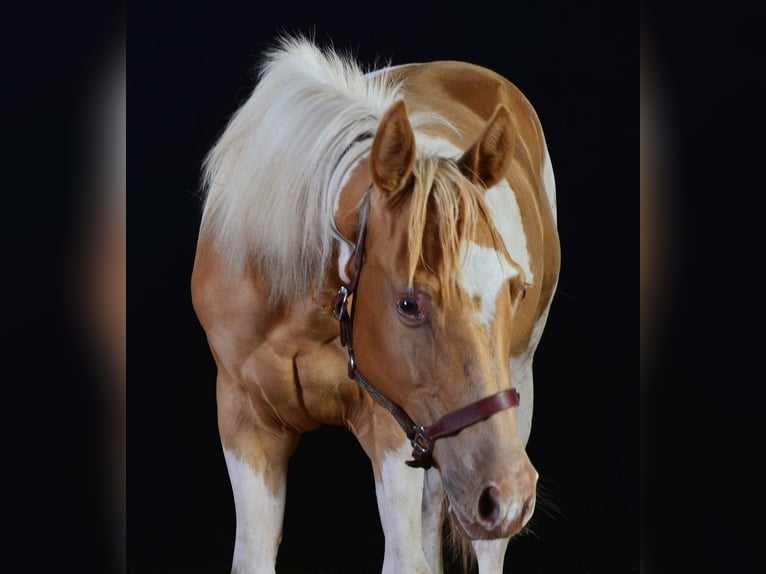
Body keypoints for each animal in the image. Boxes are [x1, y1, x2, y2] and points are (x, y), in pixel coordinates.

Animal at [191, 36, 560, 574]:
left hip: (513, 393)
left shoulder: (392, 426)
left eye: (517, 289)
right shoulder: (245, 422)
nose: (506, 494)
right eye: (408, 304)